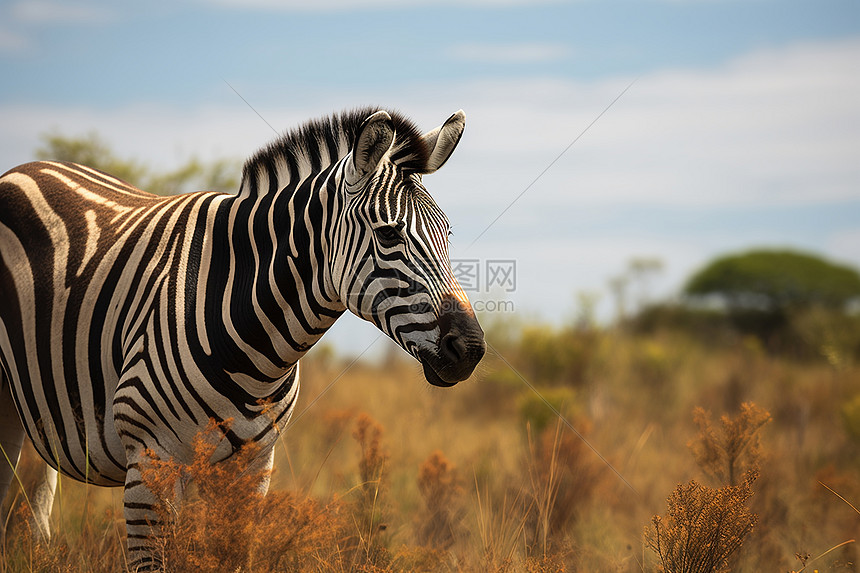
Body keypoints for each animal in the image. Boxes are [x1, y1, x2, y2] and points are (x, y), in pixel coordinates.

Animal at [0, 107, 484, 568]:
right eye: (388, 233)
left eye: (447, 233)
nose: (471, 350)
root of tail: (32, 166)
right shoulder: (150, 464)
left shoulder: (252, 470)